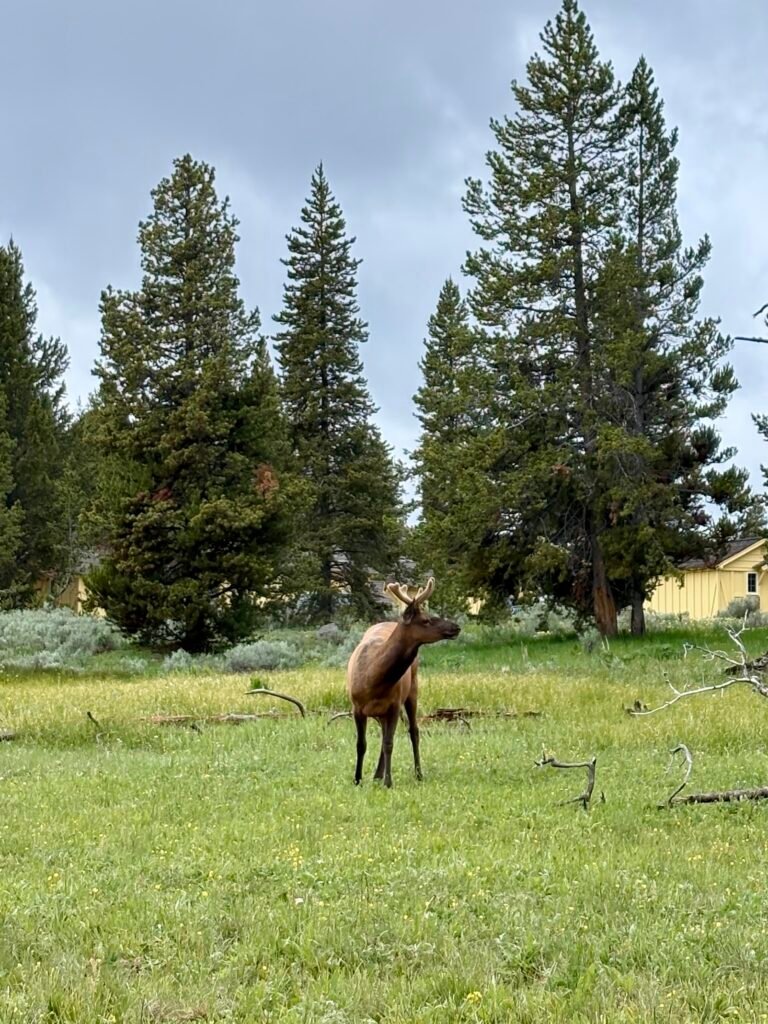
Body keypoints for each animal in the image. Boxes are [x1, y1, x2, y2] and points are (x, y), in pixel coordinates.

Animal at [346, 577, 460, 788]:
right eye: (426, 620)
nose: (456, 627)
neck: (373, 680)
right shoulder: (356, 706)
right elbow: (361, 744)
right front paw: (357, 779)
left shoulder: (394, 705)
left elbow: (389, 744)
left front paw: (388, 782)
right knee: (385, 734)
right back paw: (377, 774)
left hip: (412, 690)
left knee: (413, 731)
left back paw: (418, 773)